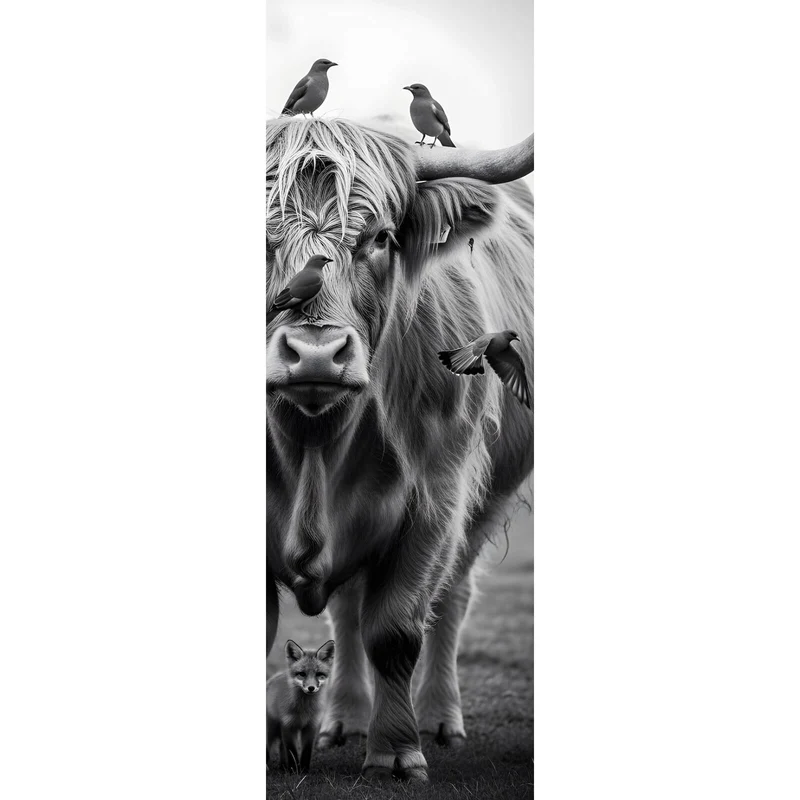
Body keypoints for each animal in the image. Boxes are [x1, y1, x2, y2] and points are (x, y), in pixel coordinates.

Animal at [267, 638, 335, 773]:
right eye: (302, 674)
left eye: (319, 674)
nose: (311, 688)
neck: (304, 710)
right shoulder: (288, 726)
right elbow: (291, 751)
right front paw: (294, 771)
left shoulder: (311, 726)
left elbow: (306, 751)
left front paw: (304, 771)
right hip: (270, 730)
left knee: (281, 747)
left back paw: (283, 767)